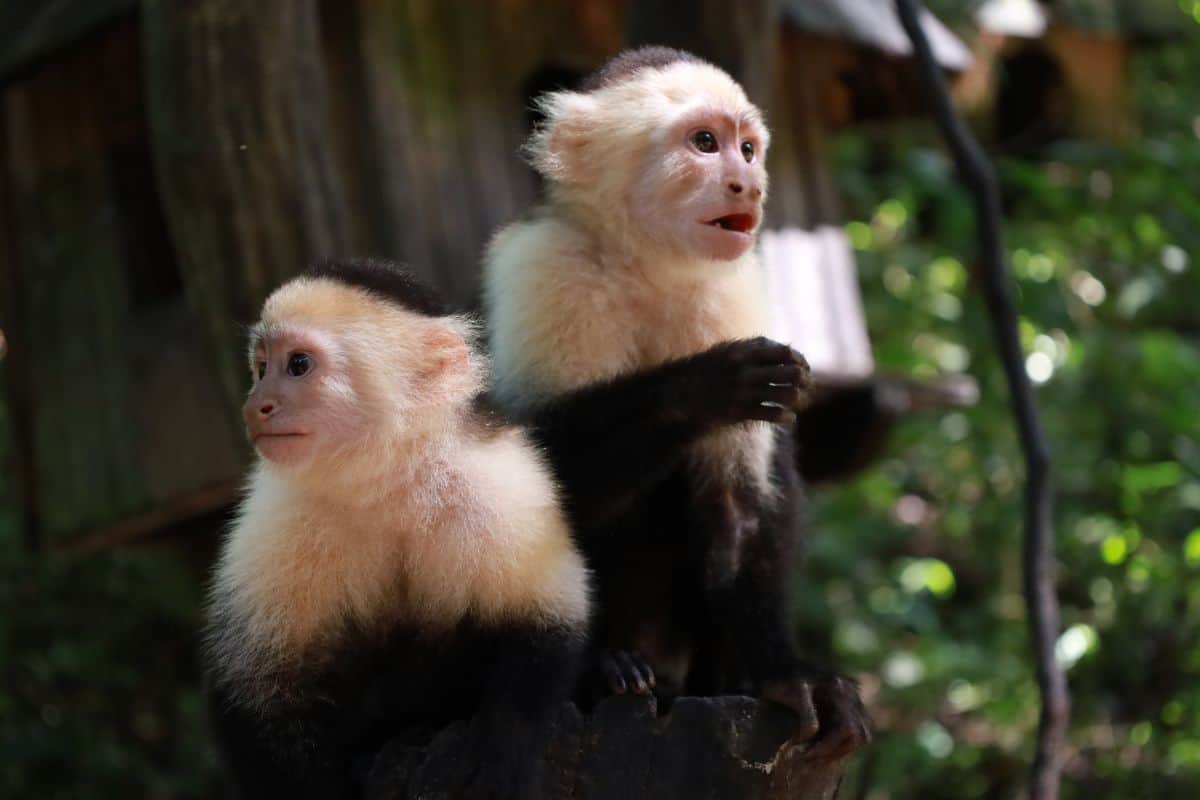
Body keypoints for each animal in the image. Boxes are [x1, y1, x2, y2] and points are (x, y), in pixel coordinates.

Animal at [203, 259, 590, 799]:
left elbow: (548, 620)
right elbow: (252, 694)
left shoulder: (498, 486)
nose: (255, 405)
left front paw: (501, 750)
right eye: (260, 368)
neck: (385, 481)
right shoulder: (276, 516)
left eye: (298, 365)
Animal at [482, 46, 870, 759]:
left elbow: (739, 505)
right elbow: (529, 474)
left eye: (748, 149)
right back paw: (604, 669)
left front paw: (783, 673)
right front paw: (709, 384)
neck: (647, 265)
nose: (748, 184)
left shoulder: (734, 290)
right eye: (705, 143)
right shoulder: (546, 267)